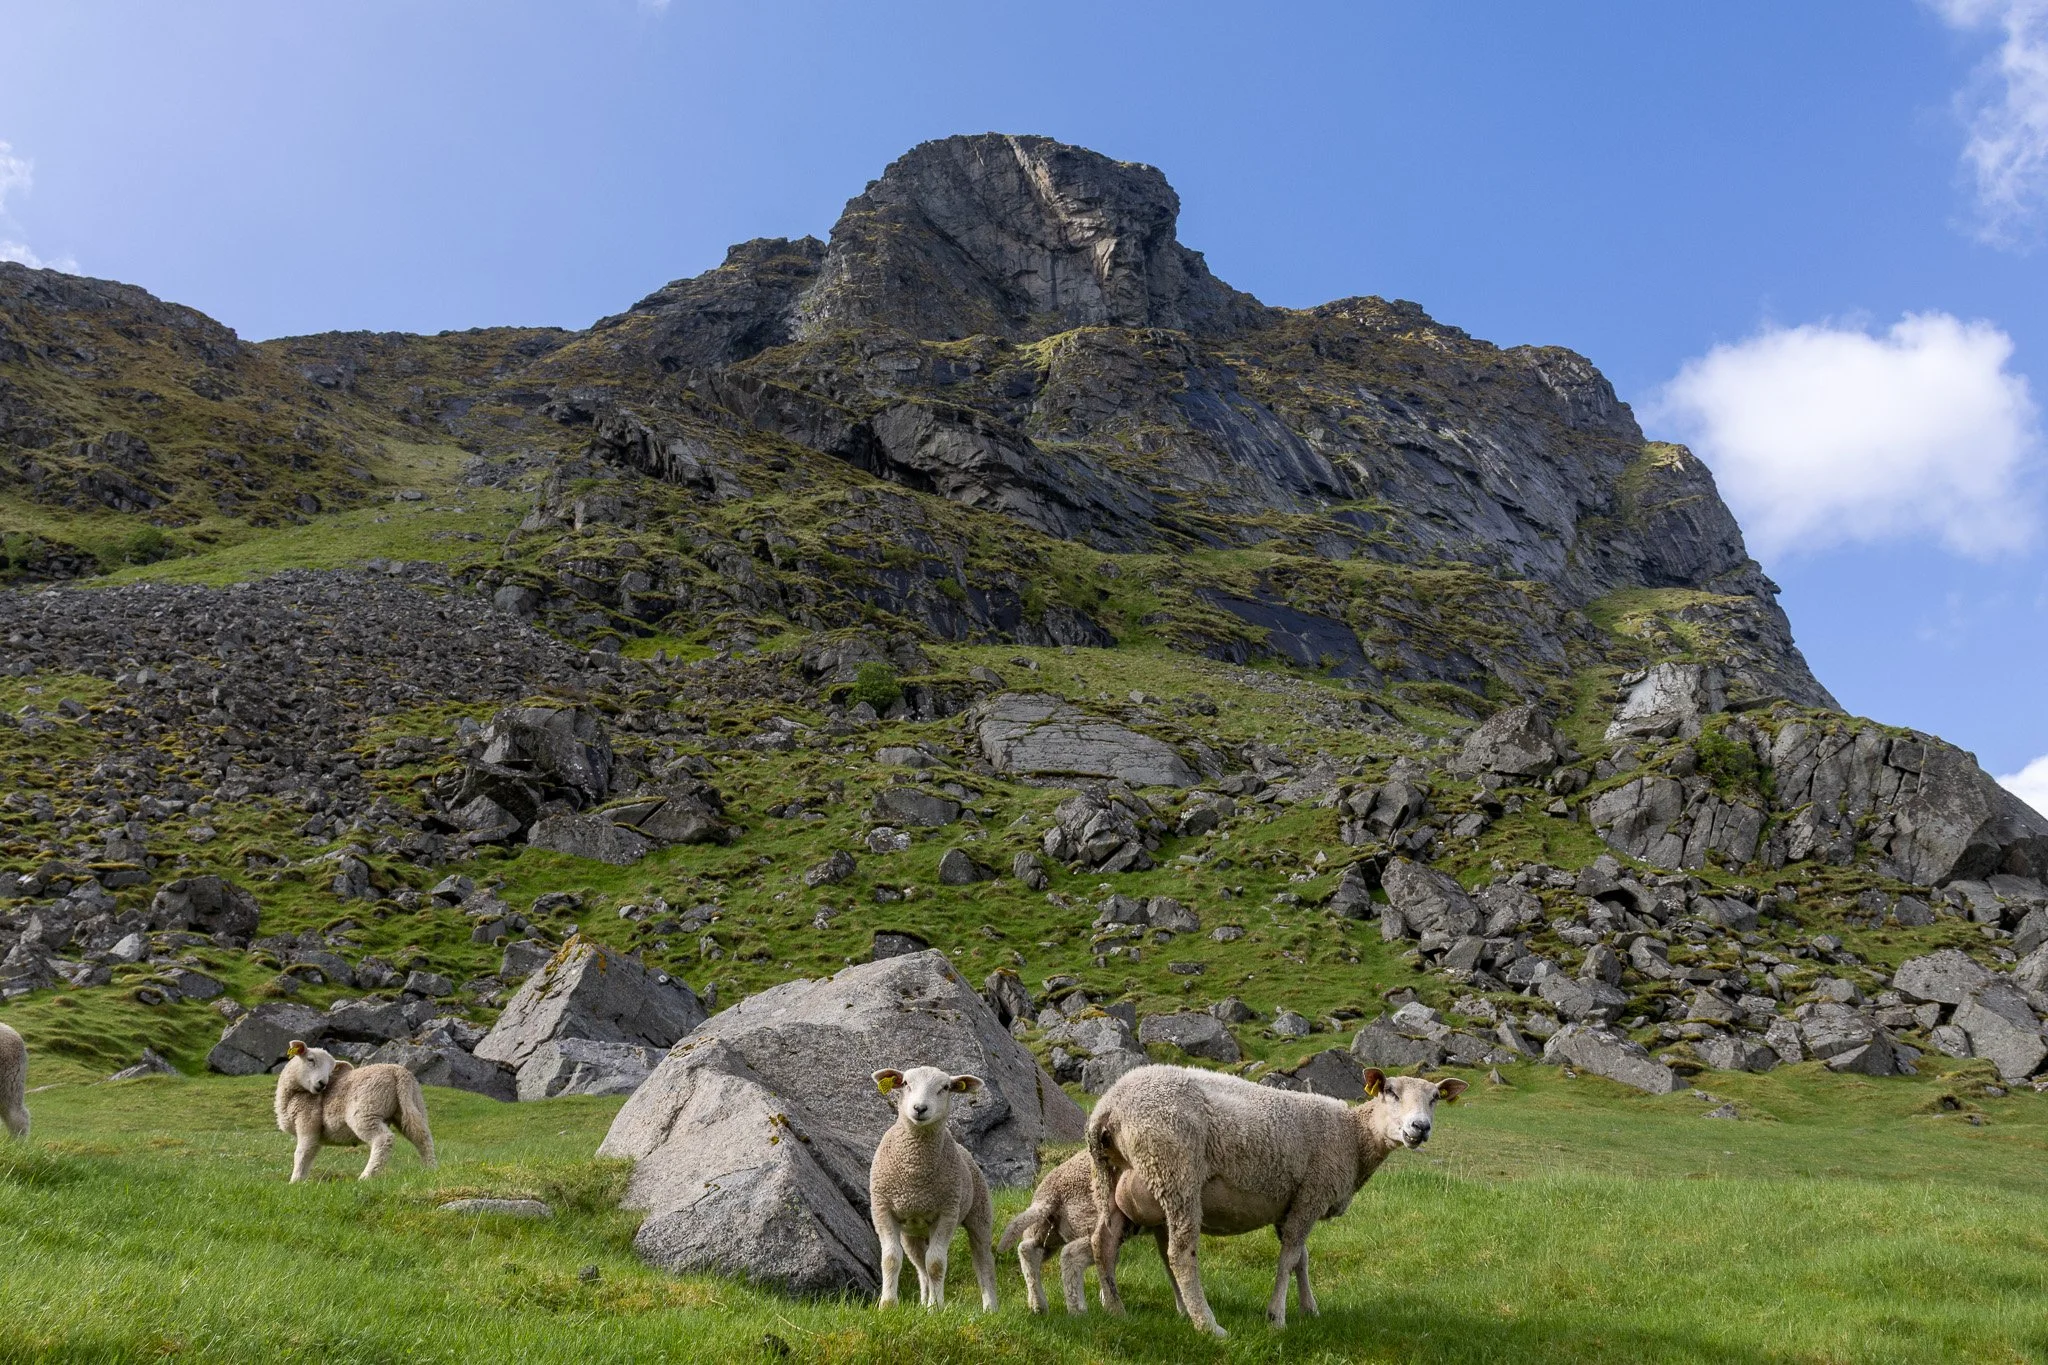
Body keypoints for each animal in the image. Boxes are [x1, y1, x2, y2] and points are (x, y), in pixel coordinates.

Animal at [274, 1040, 436, 1182]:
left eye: (331, 1070)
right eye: (310, 1060)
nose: (322, 1083)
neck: (294, 1094)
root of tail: (399, 1072)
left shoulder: (308, 1122)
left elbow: (301, 1153)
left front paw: (294, 1181)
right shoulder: (316, 1134)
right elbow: (310, 1155)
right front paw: (302, 1180)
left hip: (365, 1112)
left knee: (383, 1139)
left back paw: (366, 1177)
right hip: (412, 1106)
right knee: (423, 1138)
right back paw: (429, 1170)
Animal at [867, 1065, 997, 1310]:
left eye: (945, 1088)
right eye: (905, 1083)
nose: (919, 1108)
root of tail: (964, 1150)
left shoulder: (946, 1213)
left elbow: (936, 1263)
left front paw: (937, 1308)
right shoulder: (882, 1209)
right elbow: (891, 1260)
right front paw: (888, 1306)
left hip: (979, 1214)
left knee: (983, 1261)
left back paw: (990, 1308)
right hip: (912, 1234)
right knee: (920, 1267)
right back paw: (924, 1303)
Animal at [997, 1148, 1174, 1315]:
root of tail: (1050, 1195)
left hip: (1047, 1230)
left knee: (1028, 1250)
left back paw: (1038, 1305)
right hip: (1095, 1222)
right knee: (1075, 1253)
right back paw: (1081, 1311)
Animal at [1088, 1063, 1466, 1336]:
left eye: (1435, 1097)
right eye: (1390, 1091)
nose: (1420, 1128)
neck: (1352, 1136)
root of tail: (1109, 1106)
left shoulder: (1294, 1203)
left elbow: (1303, 1259)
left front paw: (1310, 1309)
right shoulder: (1312, 1193)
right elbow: (1288, 1259)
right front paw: (1277, 1317)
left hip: (1112, 1177)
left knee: (1102, 1241)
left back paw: (1115, 1310)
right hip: (1175, 1170)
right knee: (1181, 1254)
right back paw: (1208, 1326)